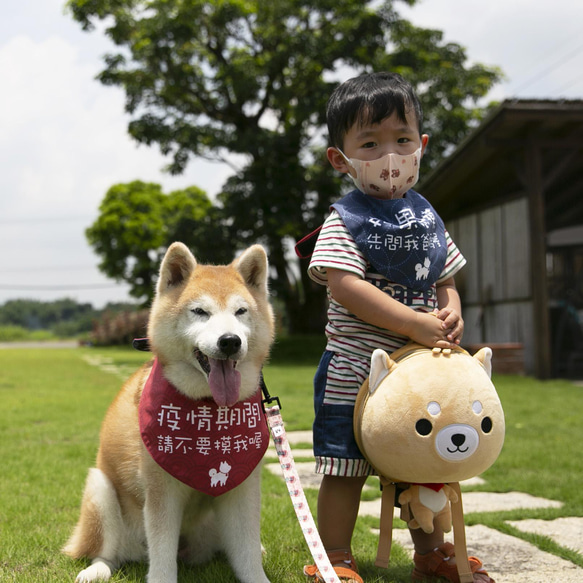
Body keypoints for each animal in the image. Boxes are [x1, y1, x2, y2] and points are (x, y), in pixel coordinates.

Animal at [64, 244, 276, 583]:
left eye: (241, 311)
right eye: (200, 311)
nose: (230, 341)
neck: (208, 408)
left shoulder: (242, 486)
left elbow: (247, 554)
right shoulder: (160, 490)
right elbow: (161, 554)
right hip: (101, 489)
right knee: (108, 553)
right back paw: (96, 569)